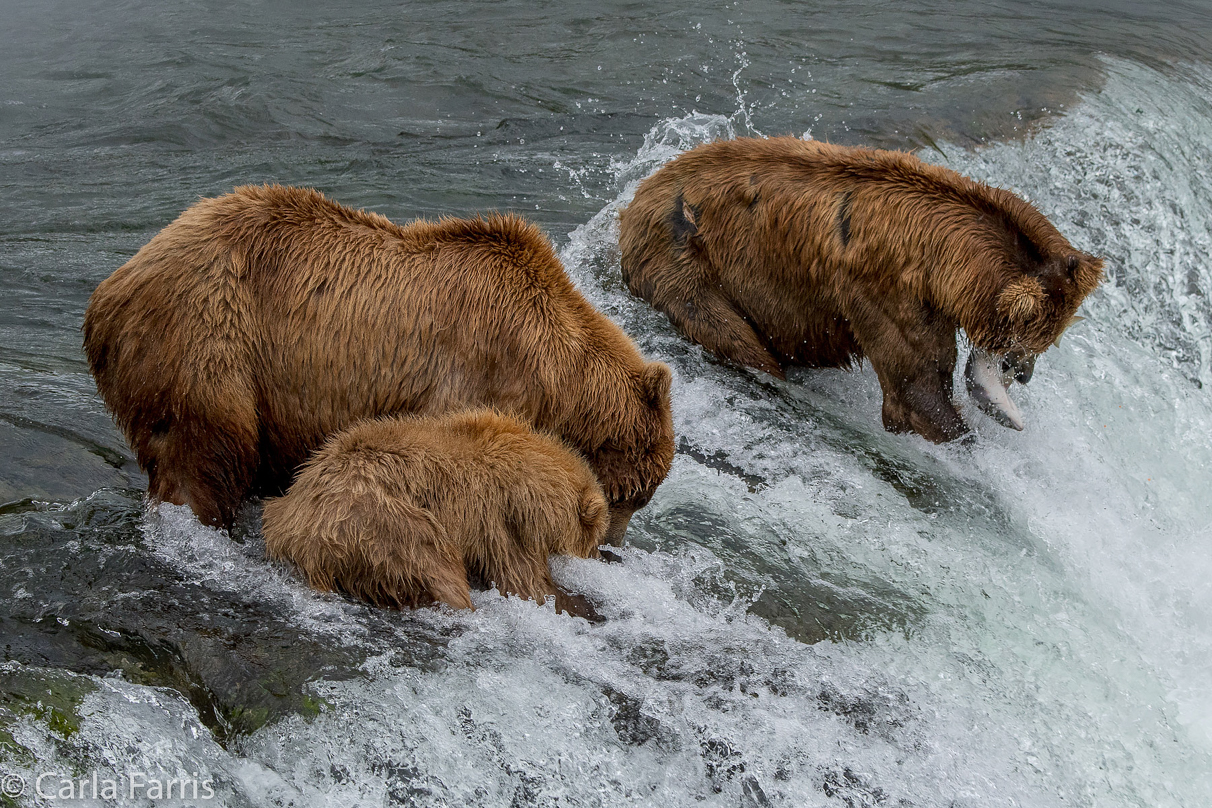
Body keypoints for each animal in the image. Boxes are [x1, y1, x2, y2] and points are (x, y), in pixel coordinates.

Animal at [85, 185, 673, 540]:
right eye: (633, 495)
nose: (610, 547)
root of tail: (109, 291)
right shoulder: (476, 372)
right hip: (210, 336)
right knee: (206, 454)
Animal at [261, 411, 610, 612]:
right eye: (595, 539)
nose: (598, 554)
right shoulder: (502, 519)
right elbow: (525, 582)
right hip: (379, 523)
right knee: (437, 567)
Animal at [620, 137, 1105, 443]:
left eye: (1049, 340)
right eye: (1029, 341)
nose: (1023, 374)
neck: (940, 261)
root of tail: (633, 201)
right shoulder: (884, 290)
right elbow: (916, 390)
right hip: (686, 266)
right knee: (735, 339)